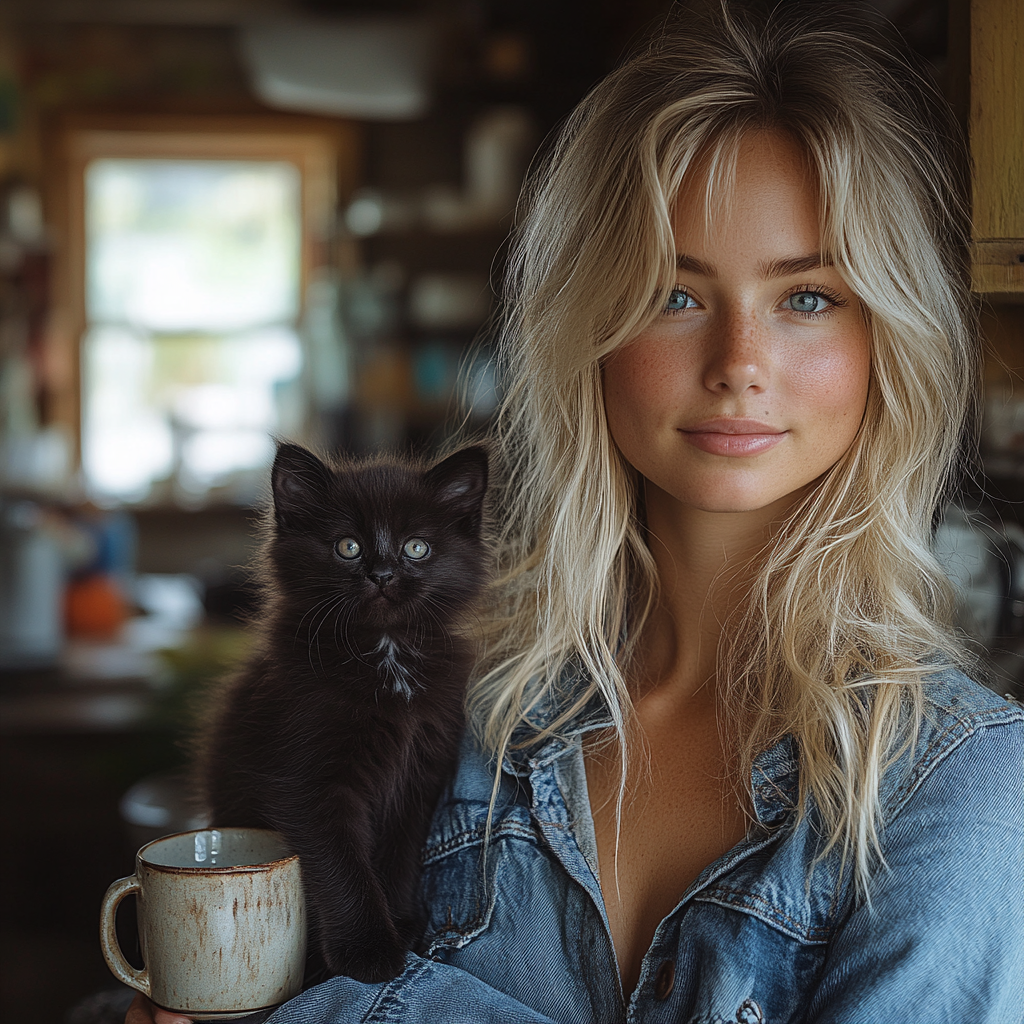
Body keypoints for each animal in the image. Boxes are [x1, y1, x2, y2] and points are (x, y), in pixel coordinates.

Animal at [200, 442, 491, 983]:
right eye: (348, 547)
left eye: (416, 547)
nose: (382, 575)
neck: (385, 651)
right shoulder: (305, 778)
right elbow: (342, 865)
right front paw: (369, 950)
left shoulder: (420, 772)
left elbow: (399, 853)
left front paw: (399, 921)